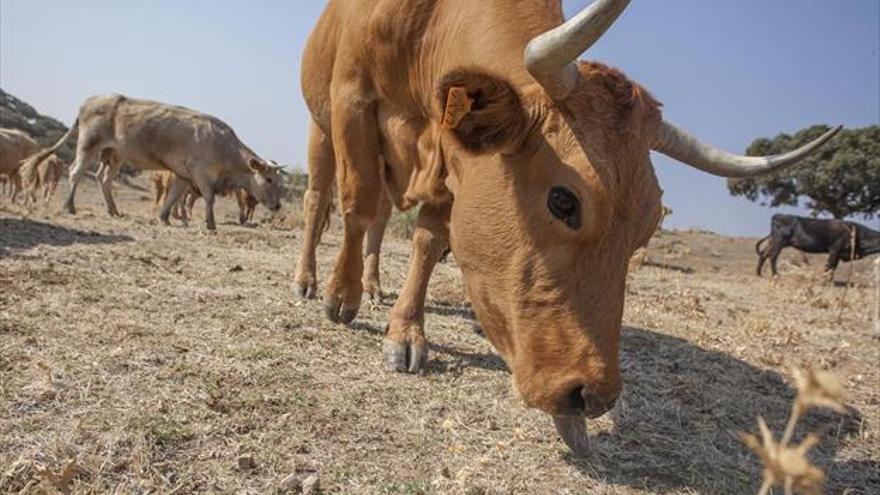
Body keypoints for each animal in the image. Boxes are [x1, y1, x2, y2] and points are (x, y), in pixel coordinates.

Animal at [23, 94, 286, 231]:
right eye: (269, 179)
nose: (277, 206)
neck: (223, 146)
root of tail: (90, 100)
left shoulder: (183, 174)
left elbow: (173, 196)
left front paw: (164, 217)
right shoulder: (201, 174)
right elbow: (209, 198)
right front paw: (210, 224)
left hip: (114, 155)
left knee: (103, 180)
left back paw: (113, 210)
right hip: (88, 145)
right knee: (76, 172)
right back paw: (70, 206)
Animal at [300, 0, 844, 456]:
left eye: (648, 226)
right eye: (563, 200)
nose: (591, 395)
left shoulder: (455, 164)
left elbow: (429, 240)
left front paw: (405, 329)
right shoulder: (353, 101)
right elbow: (355, 204)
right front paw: (341, 296)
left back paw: (375, 286)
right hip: (322, 129)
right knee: (321, 200)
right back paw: (312, 281)